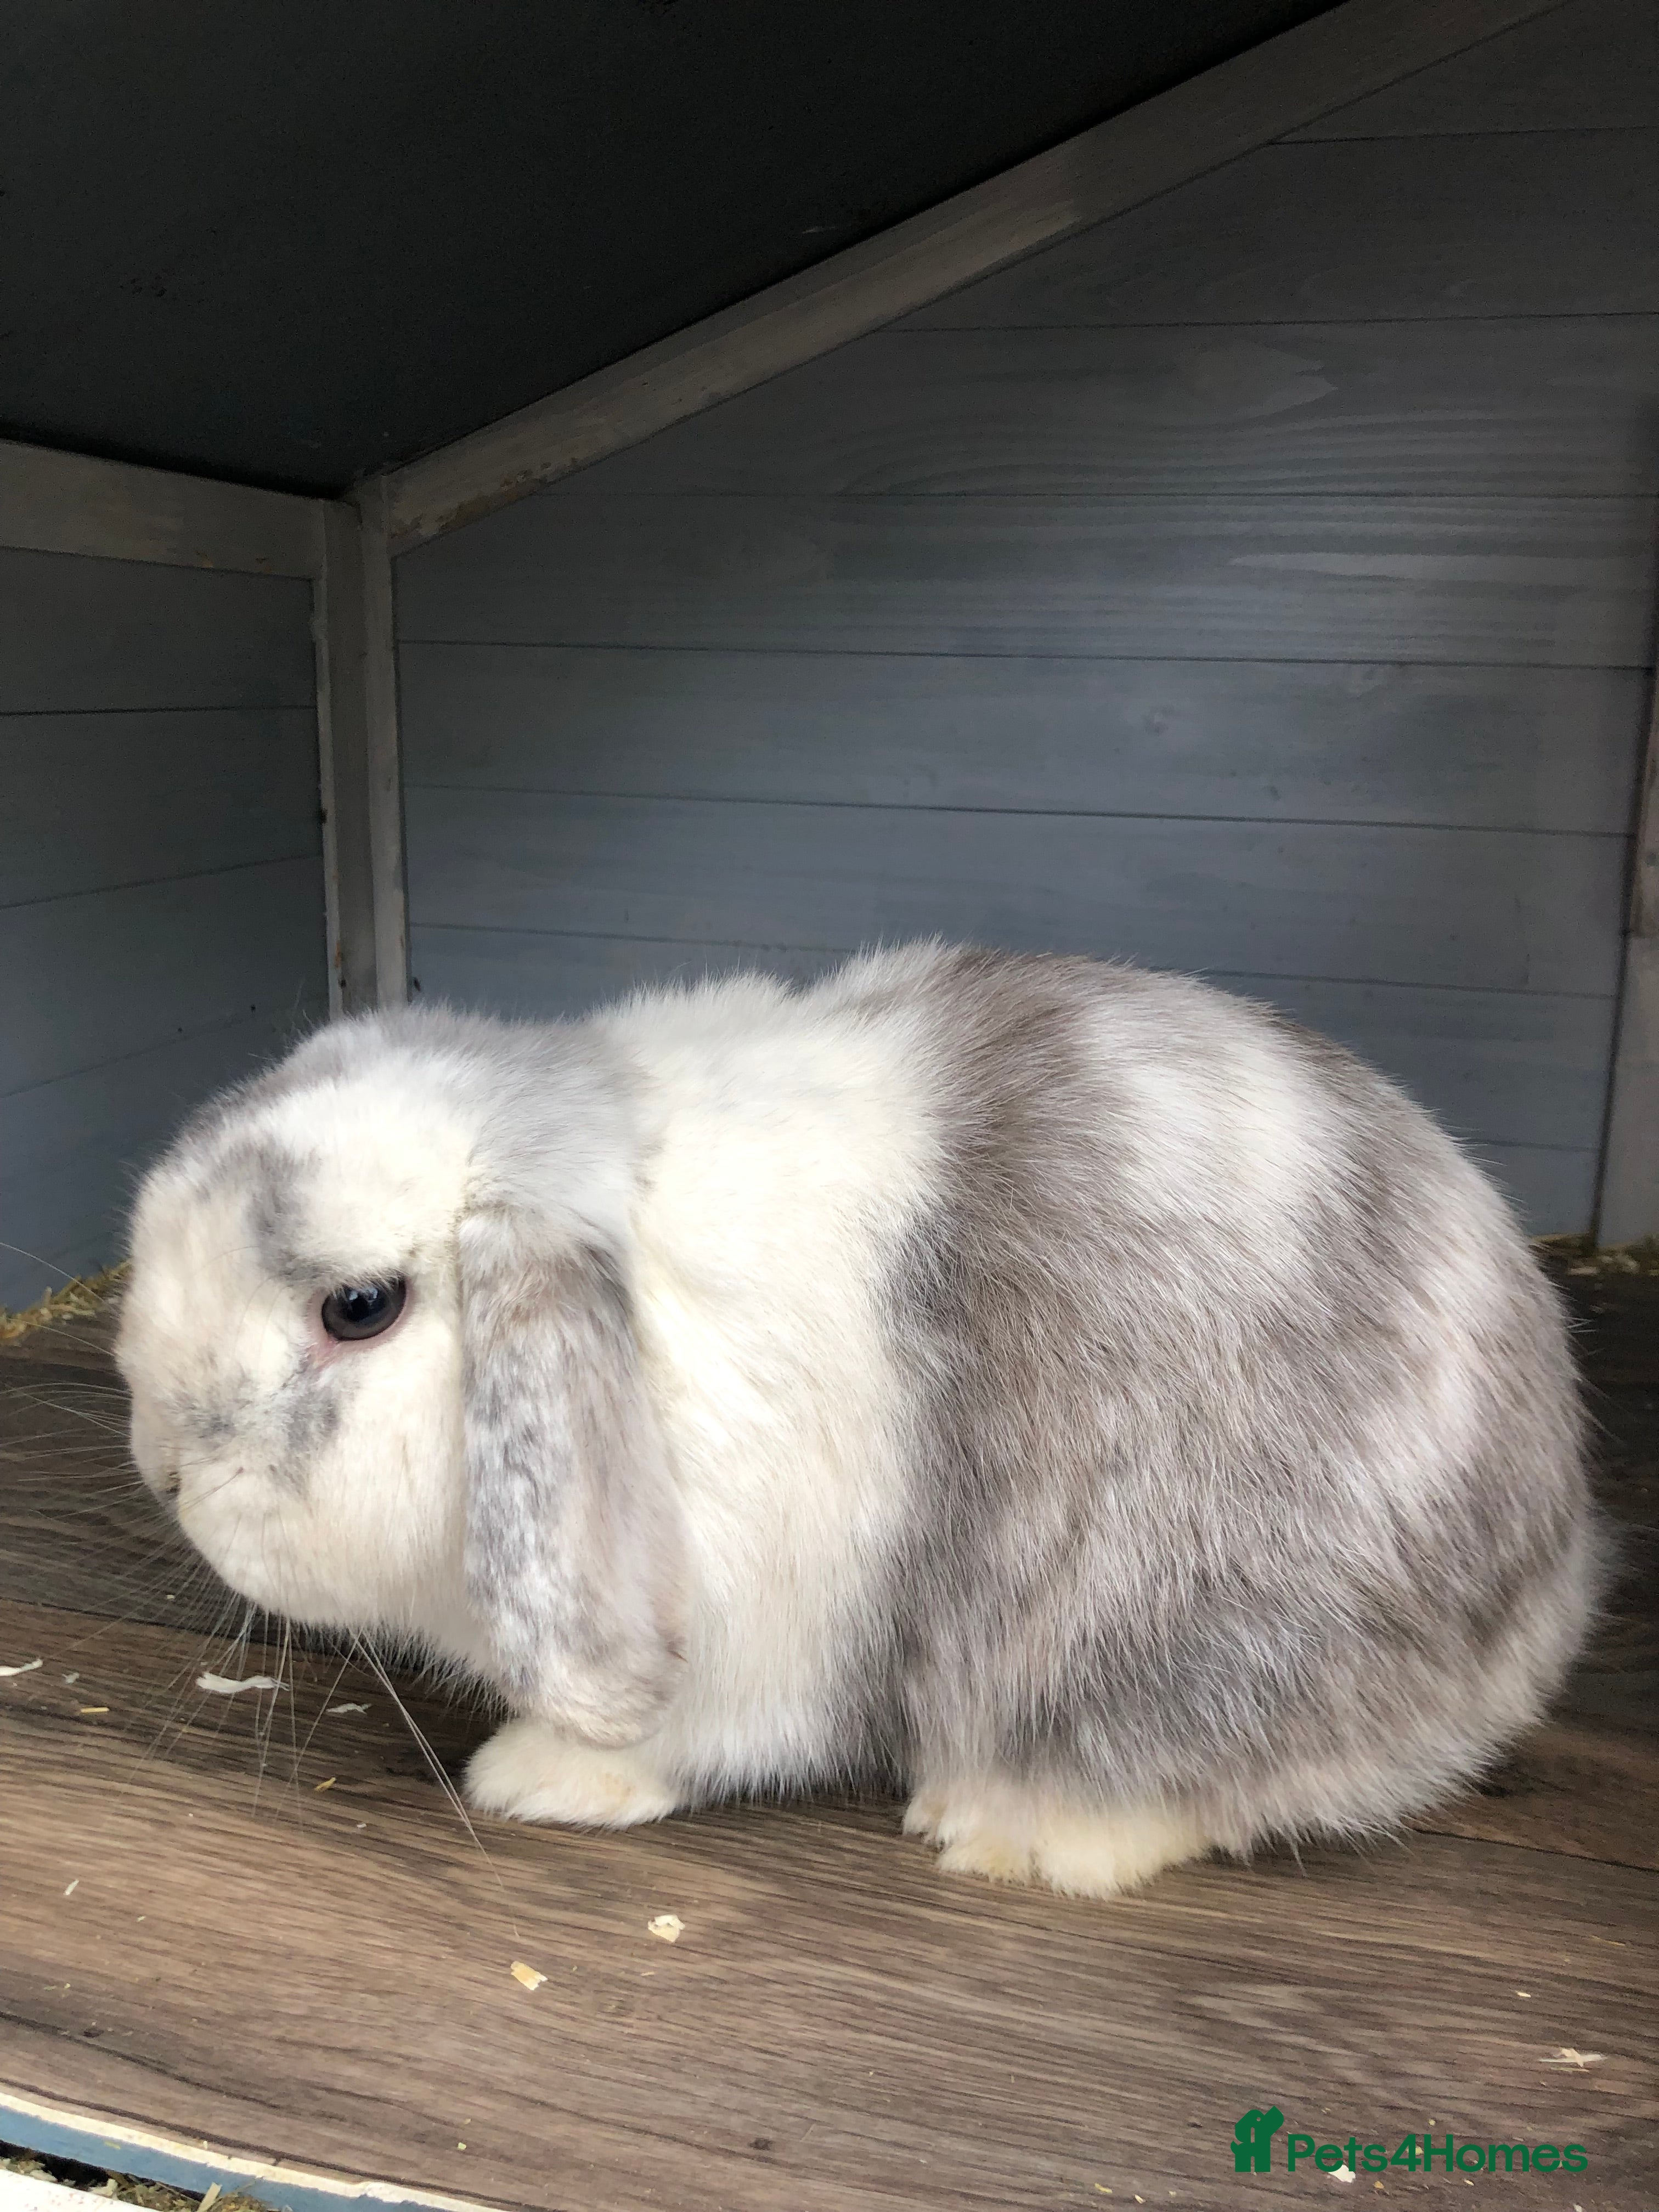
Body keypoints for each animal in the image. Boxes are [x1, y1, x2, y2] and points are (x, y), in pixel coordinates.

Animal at [114, 941, 1602, 1897]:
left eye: (359, 1307)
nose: (162, 1471)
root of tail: (1551, 1577)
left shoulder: (749, 1627)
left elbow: (676, 1736)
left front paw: (534, 1776)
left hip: (1197, 1645)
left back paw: (1004, 1830)